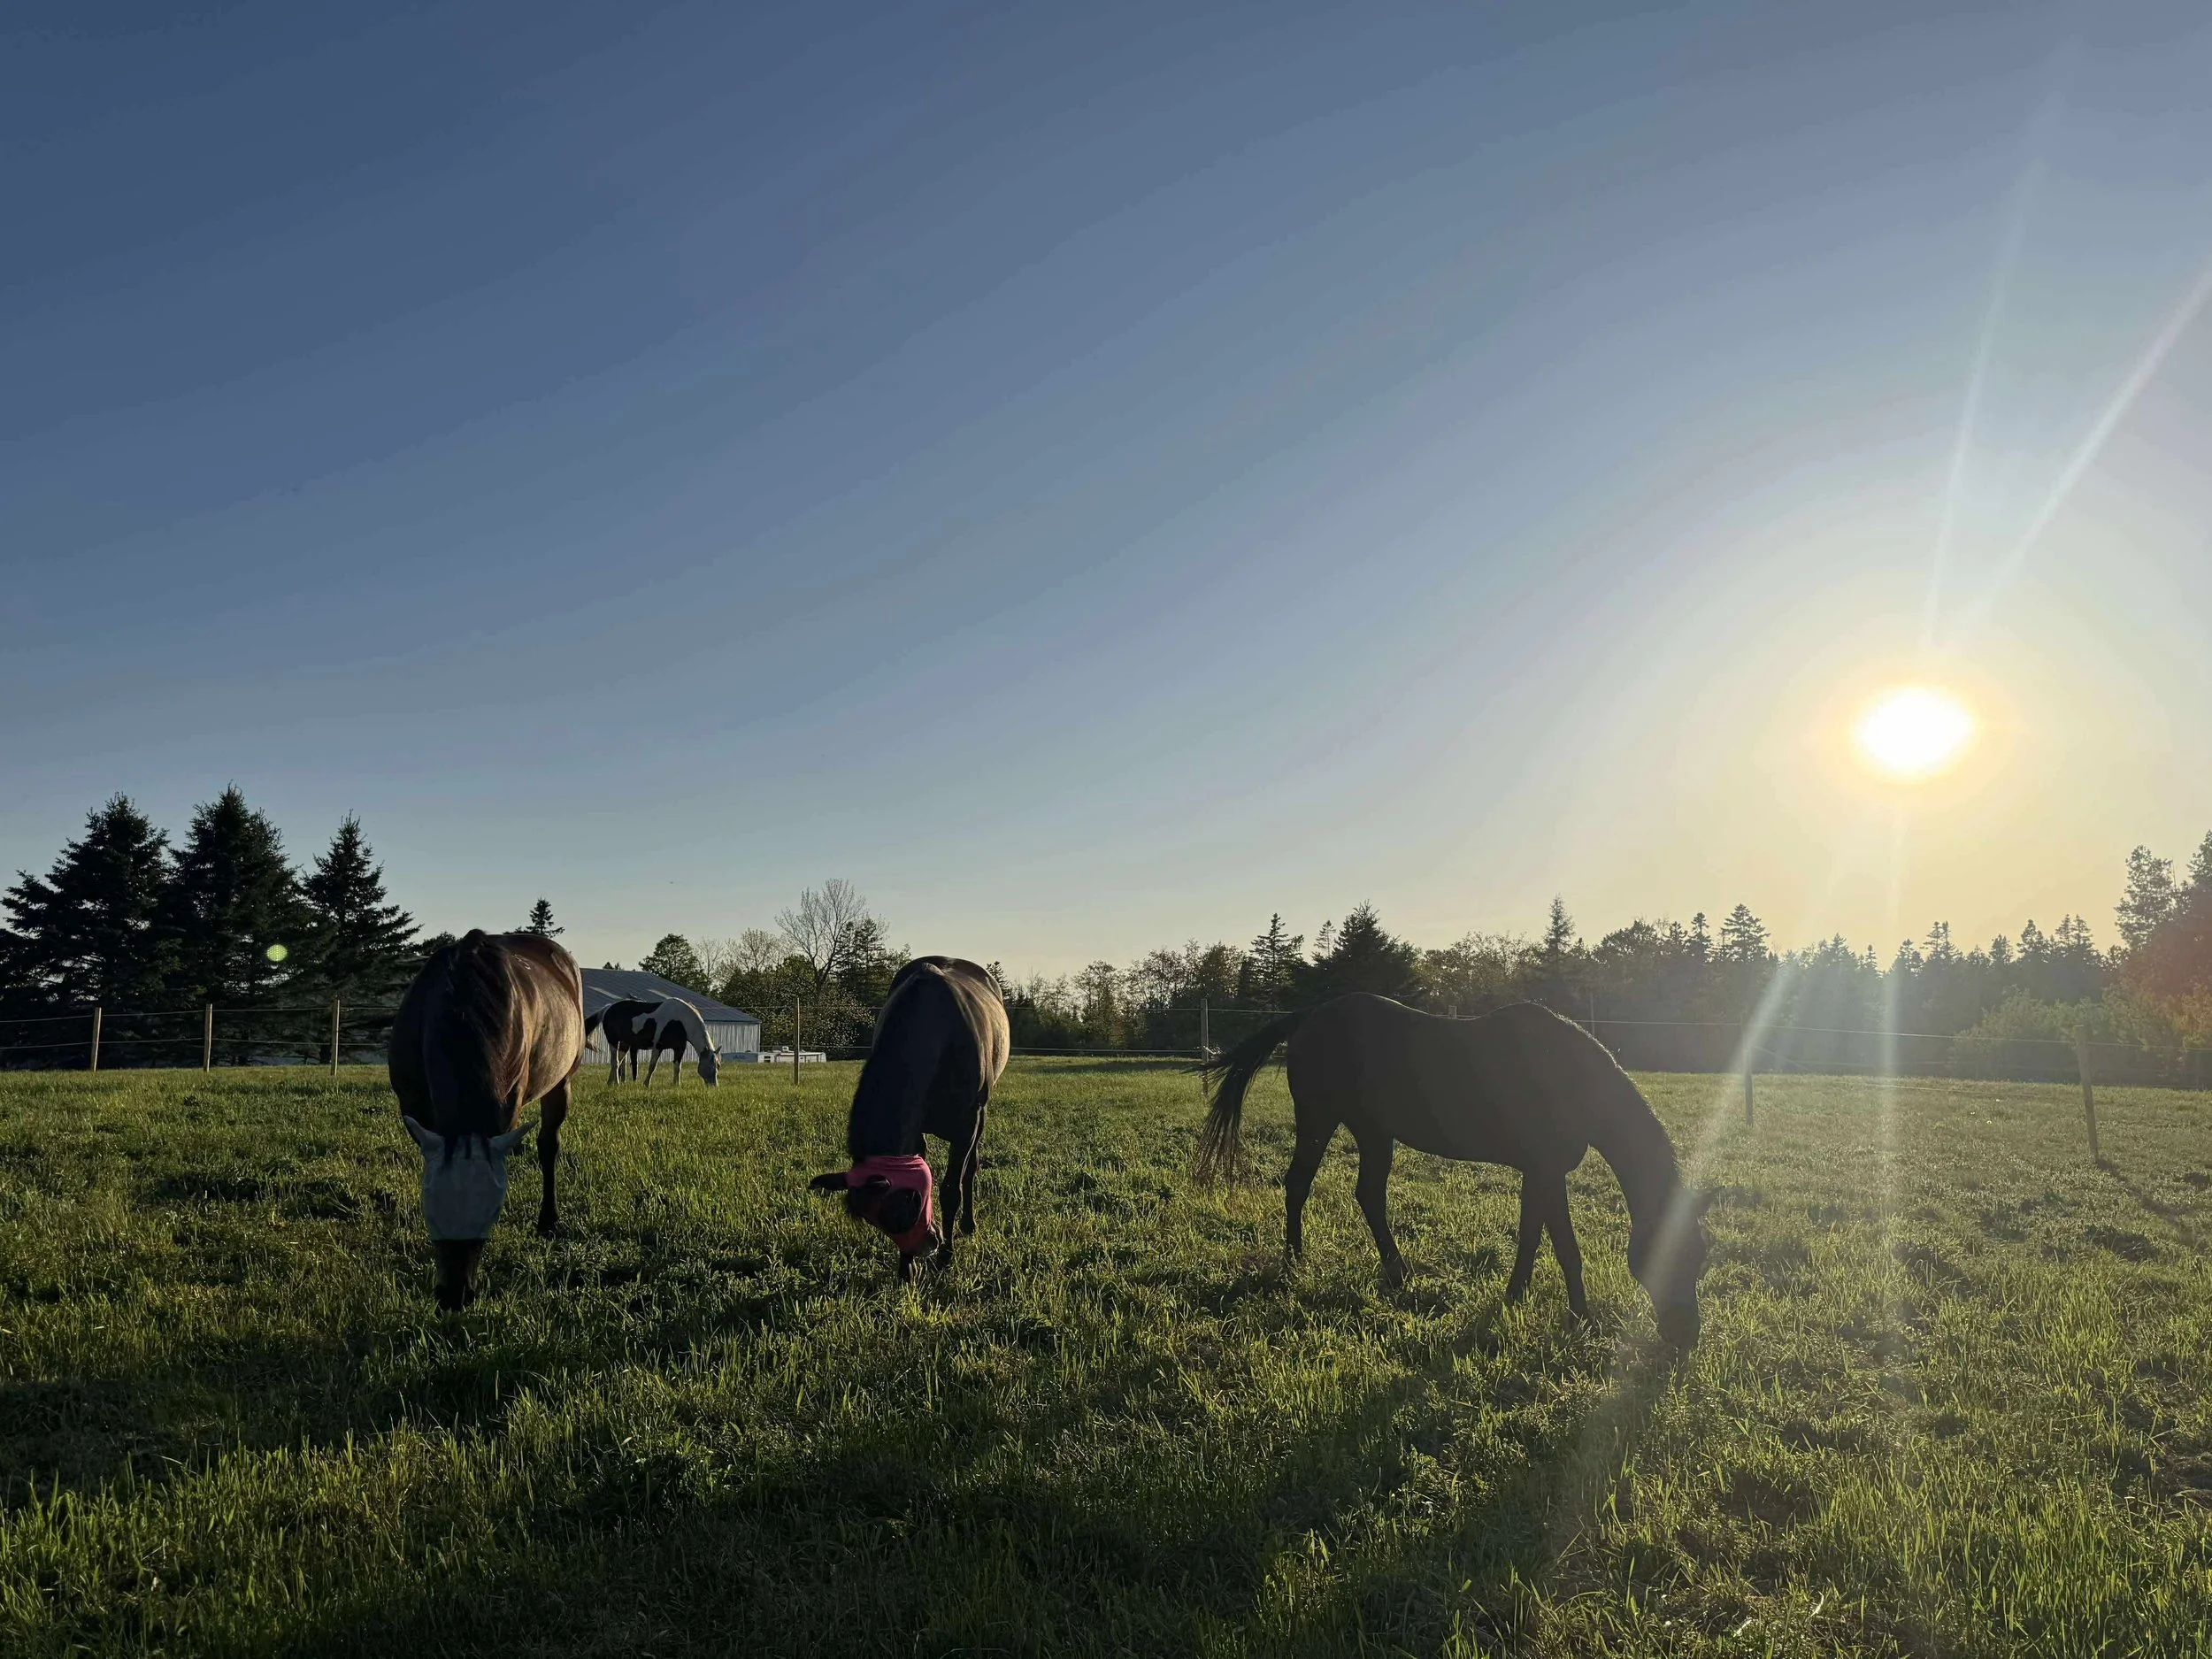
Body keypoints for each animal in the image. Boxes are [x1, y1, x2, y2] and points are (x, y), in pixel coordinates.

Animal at [389, 929, 584, 1310]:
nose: (455, 1296)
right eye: (430, 1207)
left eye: (492, 1212)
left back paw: (548, 1220)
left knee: (548, 1146)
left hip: (562, 1081)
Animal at [809, 956, 1009, 1278]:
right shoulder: (914, 1129)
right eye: (876, 1220)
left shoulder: (967, 1125)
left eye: (908, 1204)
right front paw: (906, 1268)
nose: (928, 1246)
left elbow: (951, 1189)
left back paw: (968, 1223)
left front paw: (947, 1257)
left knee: (971, 1167)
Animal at [1197, 996, 1713, 1346]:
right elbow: (1565, 1247)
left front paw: (1516, 1297)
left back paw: (1398, 1272)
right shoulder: (1547, 1171)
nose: (1685, 1335)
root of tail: (1308, 1017)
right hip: (1318, 1119)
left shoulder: (1540, 1174)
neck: (1573, 1079)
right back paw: (1295, 1260)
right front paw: (1581, 1318)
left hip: (1374, 1133)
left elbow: (1532, 1237)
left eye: (1701, 1258)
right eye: (1672, 1257)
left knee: (1368, 1195)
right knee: (1299, 1184)